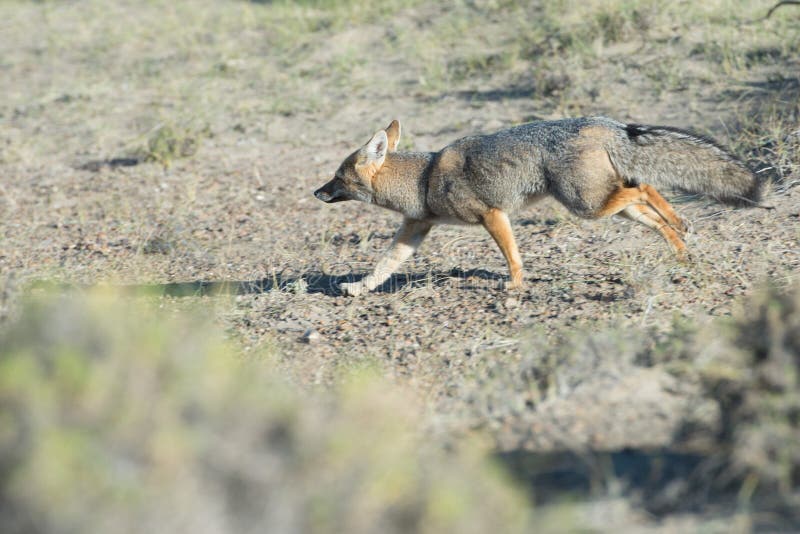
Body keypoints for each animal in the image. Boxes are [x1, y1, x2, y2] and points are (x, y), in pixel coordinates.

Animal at [314, 117, 766, 296]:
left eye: (337, 177)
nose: (317, 192)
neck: (423, 178)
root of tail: (605, 122)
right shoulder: (415, 229)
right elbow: (383, 264)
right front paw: (358, 287)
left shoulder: (493, 215)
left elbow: (512, 255)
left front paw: (515, 285)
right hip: (606, 205)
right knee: (647, 194)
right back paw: (682, 244)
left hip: (586, 205)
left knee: (643, 187)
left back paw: (682, 226)